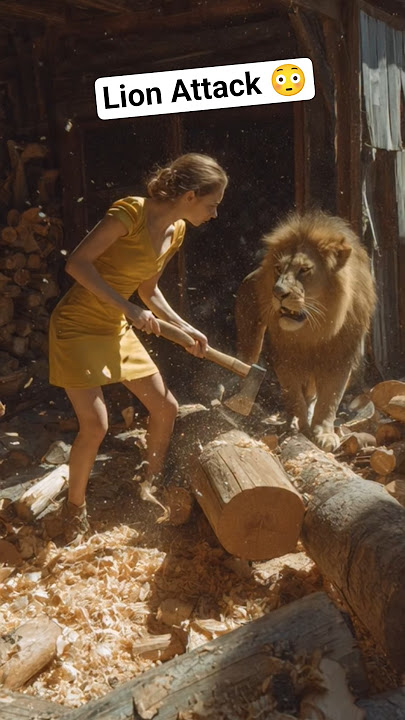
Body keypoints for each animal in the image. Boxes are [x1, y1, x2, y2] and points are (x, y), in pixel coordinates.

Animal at [235, 210, 376, 451]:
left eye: (304, 270)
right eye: (278, 269)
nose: (277, 292)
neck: (312, 330)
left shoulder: (340, 358)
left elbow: (329, 400)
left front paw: (323, 433)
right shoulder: (285, 359)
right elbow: (293, 396)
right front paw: (300, 427)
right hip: (250, 344)